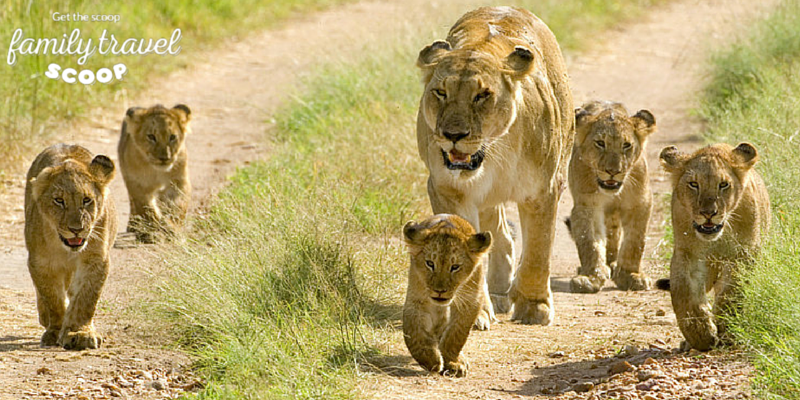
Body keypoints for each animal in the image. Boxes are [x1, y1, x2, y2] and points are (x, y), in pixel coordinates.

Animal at [416, 6, 572, 324]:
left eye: (482, 95)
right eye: (441, 92)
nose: (453, 135)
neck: (494, 151)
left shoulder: (544, 190)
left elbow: (539, 250)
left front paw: (534, 306)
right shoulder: (447, 189)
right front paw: (473, 312)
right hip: (486, 198)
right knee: (501, 234)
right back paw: (499, 292)